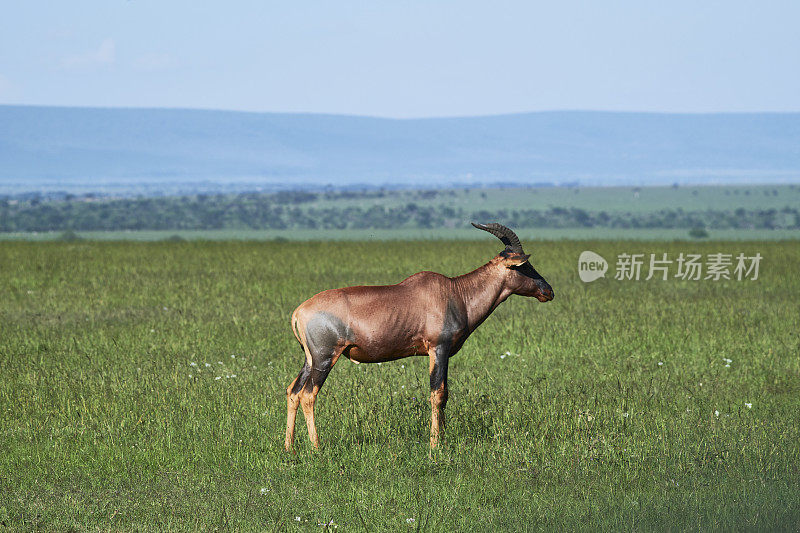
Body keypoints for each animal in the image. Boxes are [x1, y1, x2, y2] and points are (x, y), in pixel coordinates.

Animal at [284, 220, 552, 448]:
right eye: (525, 266)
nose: (548, 291)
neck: (455, 292)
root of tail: (299, 311)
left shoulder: (444, 353)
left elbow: (445, 393)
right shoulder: (438, 348)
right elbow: (437, 393)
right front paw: (435, 445)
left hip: (309, 358)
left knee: (293, 391)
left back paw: (290, 448)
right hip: (325, 357)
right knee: (308, 394)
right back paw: (316, 448)